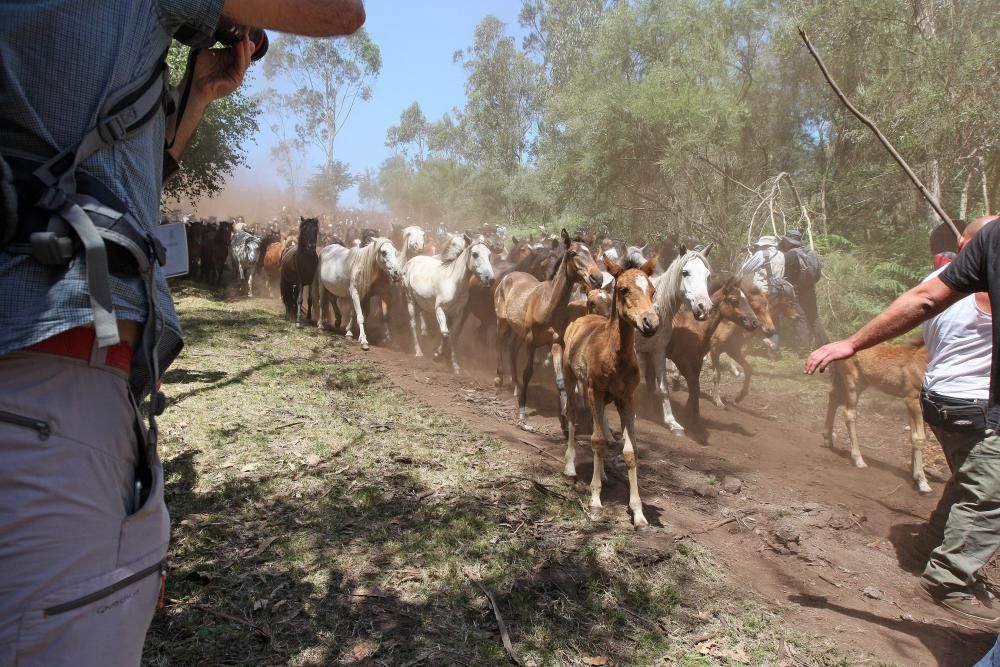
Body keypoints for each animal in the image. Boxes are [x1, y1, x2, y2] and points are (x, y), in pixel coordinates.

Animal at [402, 234, 496, 370]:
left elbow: (452, 335)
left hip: (420, 301)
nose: (491, 279)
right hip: (410, 299)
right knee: (413, 324)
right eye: (475, 254)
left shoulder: (458, 314)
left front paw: (454, 363)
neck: (453, 283)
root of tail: (411, 261)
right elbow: (445, 333)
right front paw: (437, 355)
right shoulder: (440, 310)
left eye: (489, 254)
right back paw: (418, 351)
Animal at [492, 228, 600, 422]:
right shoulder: (531, 340)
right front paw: (522, 409)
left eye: (592, 253)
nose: (597, 278)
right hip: (502, 322)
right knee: (500, 343)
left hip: (518, 331)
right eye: (573, 253)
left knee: (511, 349)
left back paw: (515, 386)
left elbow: (560, 379)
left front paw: (565, 413)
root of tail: (509, 276)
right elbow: (528, 372)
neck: (547, 305)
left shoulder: (555, 342)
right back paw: (499, 380)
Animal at [564, 256, 664, 532]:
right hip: (571, 379)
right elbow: (597, 441)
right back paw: (570, 466)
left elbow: (630, 451)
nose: (650, 323)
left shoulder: (626, 399)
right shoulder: (594, 391)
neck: (614, 356)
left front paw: (639, 514)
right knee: (573, 417)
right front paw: (596, 500)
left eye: (652, 290)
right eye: (624, 289)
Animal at [636, 245, 716, 434]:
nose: (704, 307)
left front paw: (672, 422)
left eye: (707, 275)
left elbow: (663, 387)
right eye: (685, 272)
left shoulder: (657, 351)